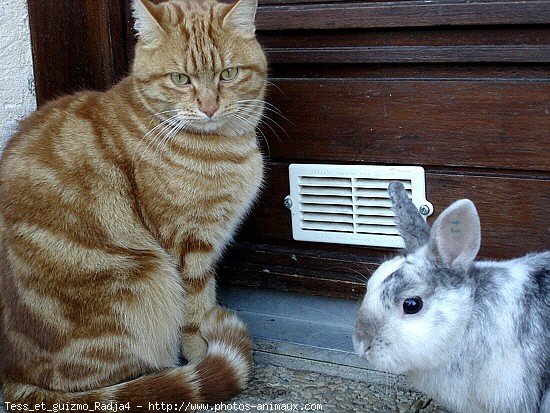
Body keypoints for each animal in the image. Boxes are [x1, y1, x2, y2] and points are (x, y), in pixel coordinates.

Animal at [0, 0, 268, 408]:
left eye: (229, 74)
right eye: (180, 79)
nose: (209, 108)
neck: (224, 147)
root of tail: (13, 375)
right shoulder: (187, 243)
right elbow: (196, 306)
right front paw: (200, 351)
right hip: (147, 277)